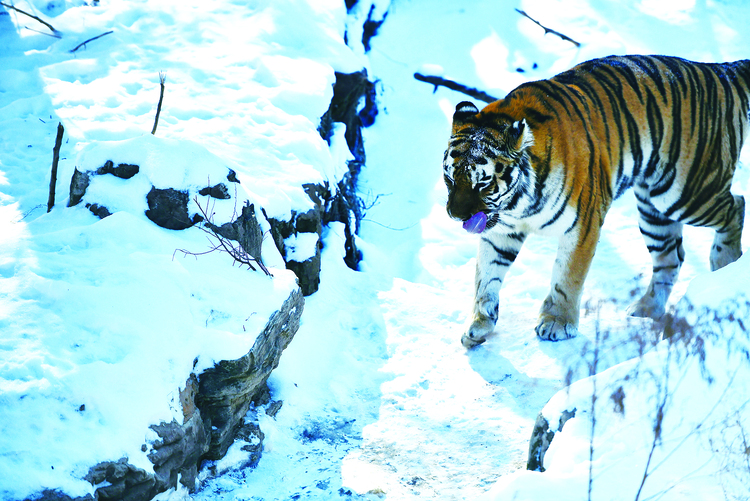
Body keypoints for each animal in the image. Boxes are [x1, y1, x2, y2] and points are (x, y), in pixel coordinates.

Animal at [446, 52, 750, 346]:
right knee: (670, 258)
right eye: (450, 179)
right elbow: (486, 277)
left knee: (736, 205)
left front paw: (557, 322)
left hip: (685, 193)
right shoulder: (501, 232)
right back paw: (647, 309)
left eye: (483, 183)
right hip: (654, 210)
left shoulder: (582, 224)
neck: (516, 205)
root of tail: (719, 69)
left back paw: (725, 264)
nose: (455, 216)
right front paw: (479, 323)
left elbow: (567, 276)